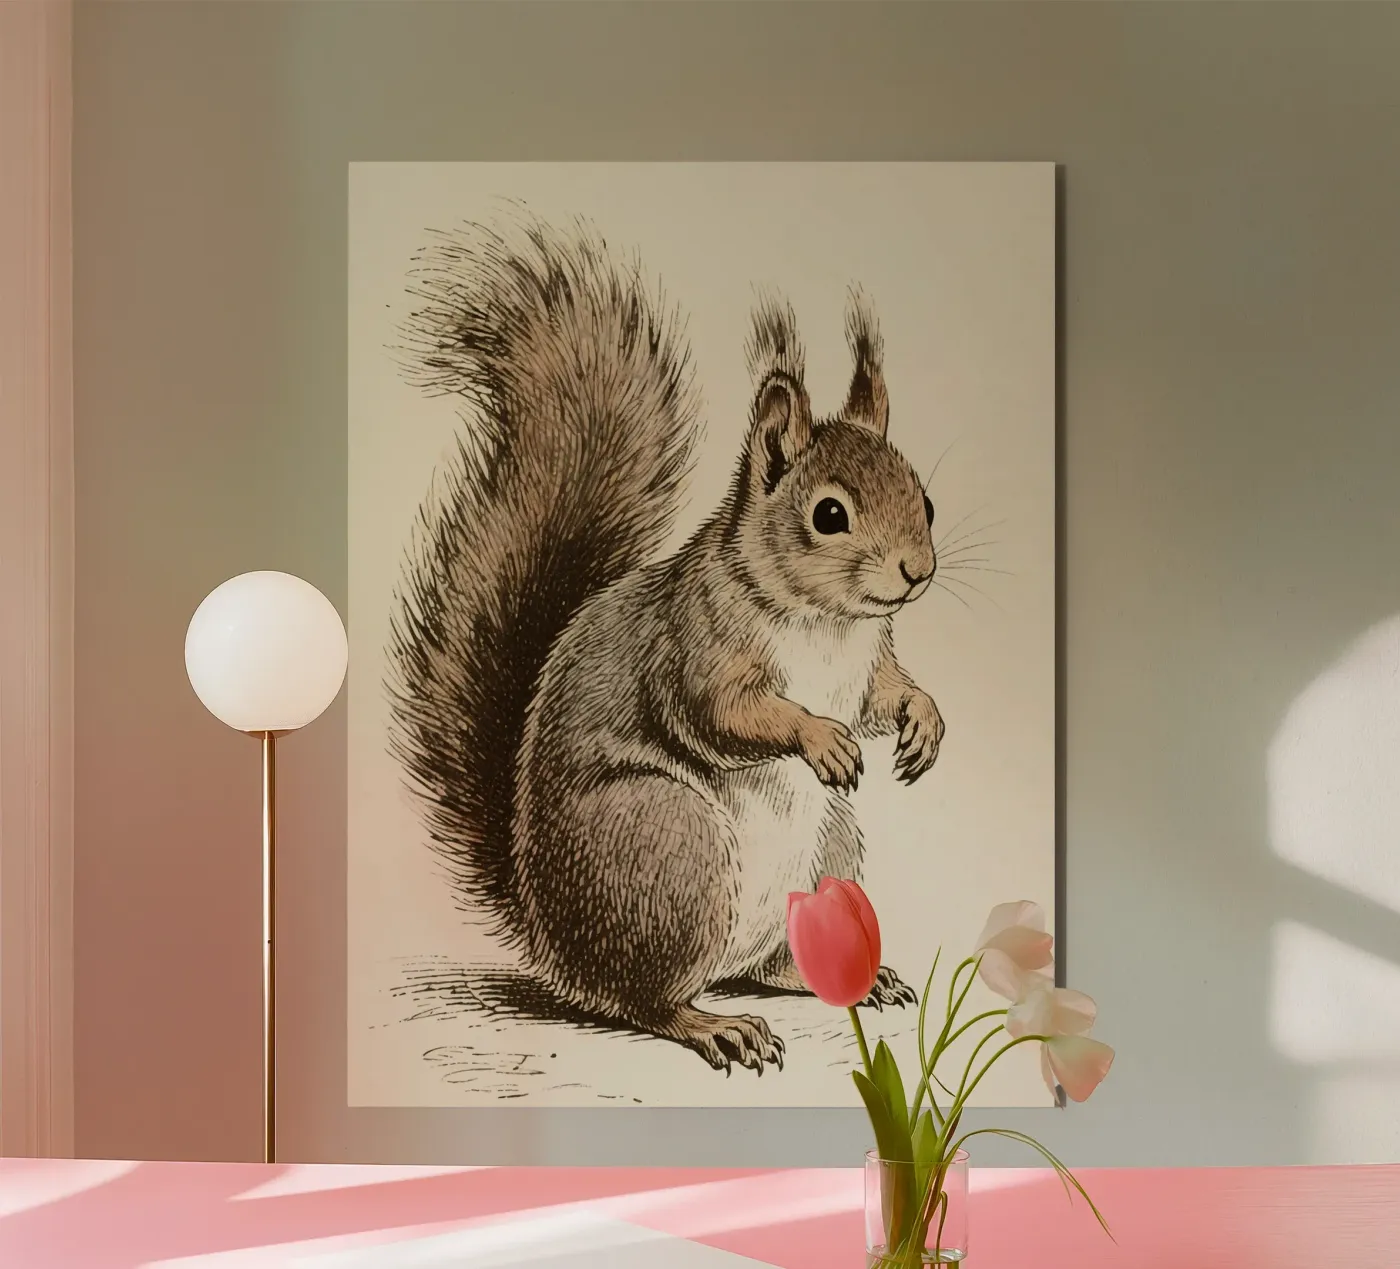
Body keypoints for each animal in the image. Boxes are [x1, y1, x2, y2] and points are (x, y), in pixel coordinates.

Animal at [388, 214, 944, 1076]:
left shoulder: (867, 662)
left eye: (925, 499)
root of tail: (559, 950)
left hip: (829, 849)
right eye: (828, 515)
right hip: (668, 846)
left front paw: (924, 721)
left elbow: (888, 692)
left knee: (770, 963)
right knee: (644, 1000)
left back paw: (849, 976)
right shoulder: (694, 644)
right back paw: (714, 1023)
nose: (918, 571)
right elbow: (721, 713)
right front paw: (819, 736)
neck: (827, 622)